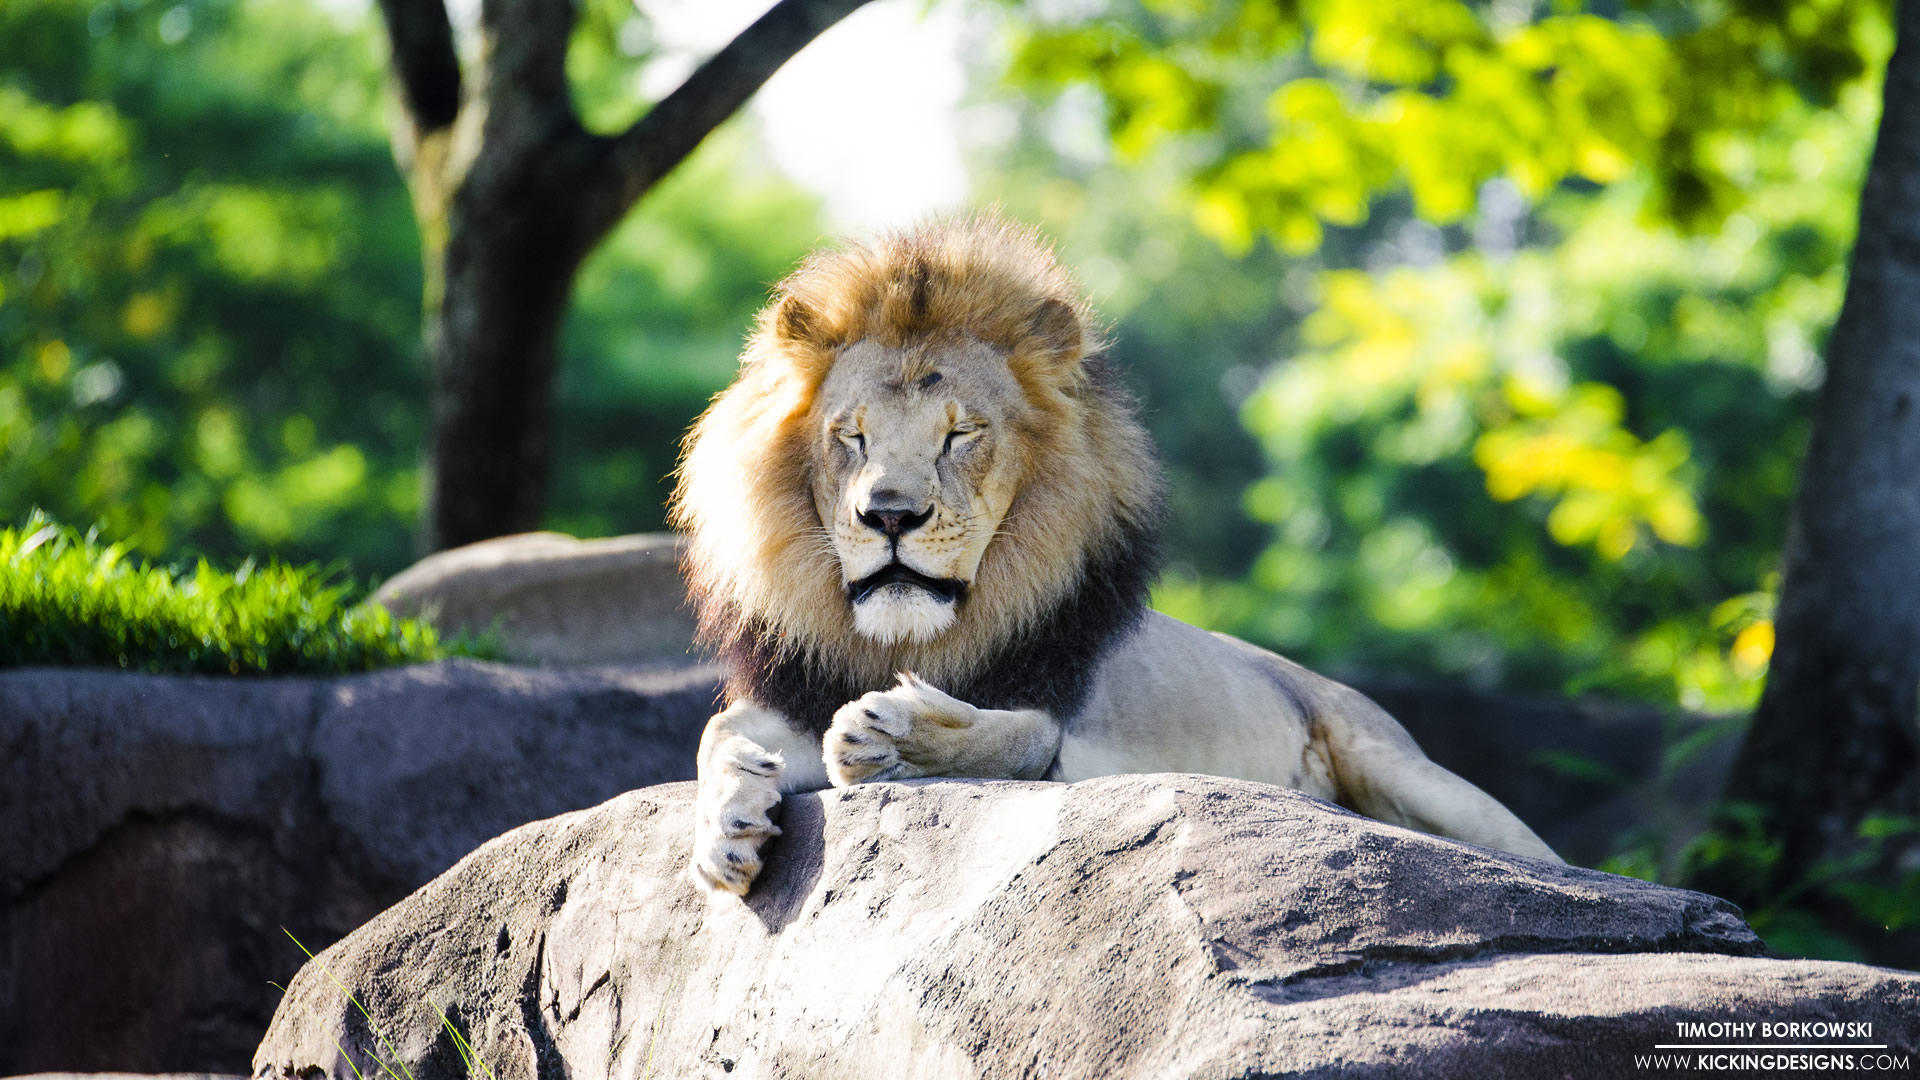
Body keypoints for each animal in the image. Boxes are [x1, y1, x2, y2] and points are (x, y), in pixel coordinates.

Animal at [671, 215, 1560, 895]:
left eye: (960, 435)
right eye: (850, 436)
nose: (889, 513)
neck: (903, 634)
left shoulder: (1060, 727)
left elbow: (1012, 739)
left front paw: (895, 735)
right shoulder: (791, 691)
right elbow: (716, 734)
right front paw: (727, 828)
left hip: (1406, 769)